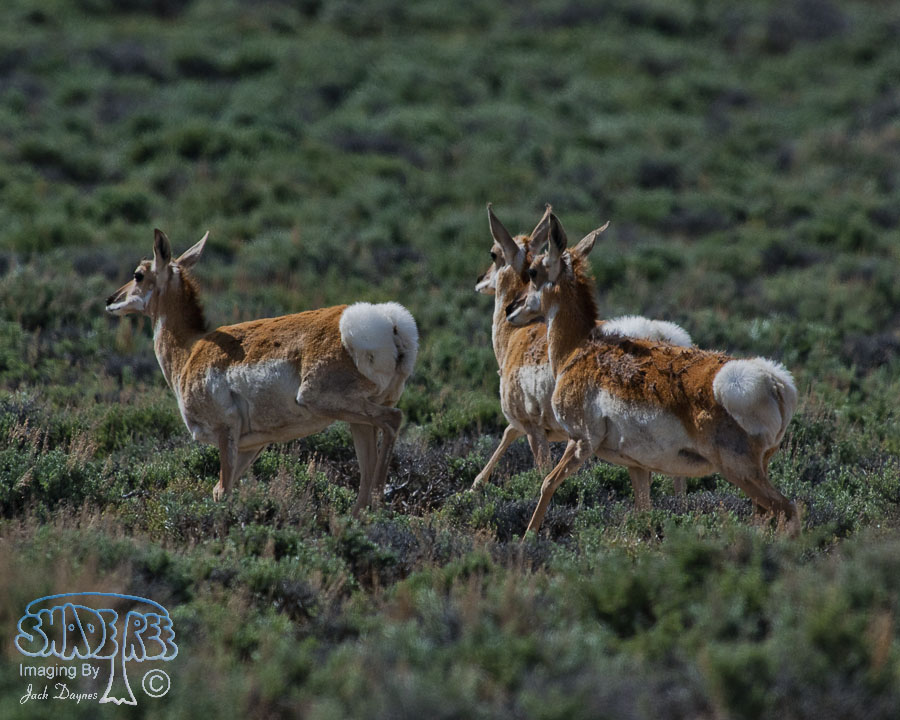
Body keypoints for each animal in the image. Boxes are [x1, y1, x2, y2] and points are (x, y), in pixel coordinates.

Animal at [106, 229, 418, 513]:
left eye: (138, 274)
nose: (110, 300)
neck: (192, 348)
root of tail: (389, 321)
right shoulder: (252, 445)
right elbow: (222, 488)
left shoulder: (226, 432)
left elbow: (222, 490)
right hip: (359, 419)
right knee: (367, 469)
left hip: (323, 400)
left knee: (393, 420)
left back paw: (379, 499)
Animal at [472, 204, 692, 498]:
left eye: (493, 254)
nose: (479, 280)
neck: (518, 336)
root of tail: (663, 335)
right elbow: (508, 432)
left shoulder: (533, 428)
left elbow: (527, 452)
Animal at [506, 212, 799, 536]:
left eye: (532, 271)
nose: (510, 309)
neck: (578, 348)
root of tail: (775, 382)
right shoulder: (636, 464)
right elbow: (643, 508)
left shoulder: (580, 442)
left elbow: (547, 483)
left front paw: (527, 538)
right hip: (755, 470)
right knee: (769, 512)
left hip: (739, 469)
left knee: (787, 509)